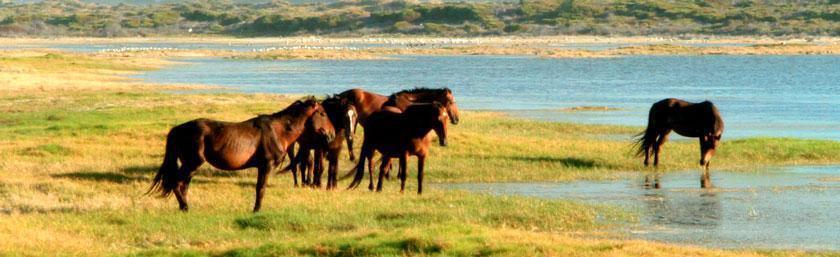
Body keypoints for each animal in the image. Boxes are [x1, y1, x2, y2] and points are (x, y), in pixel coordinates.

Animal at [148, 97, 334, 211]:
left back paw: (185, 207)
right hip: (192, 163)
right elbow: (261, 188)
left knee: (183, 185)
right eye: (323, 113)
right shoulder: (266, 166)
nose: (331, 135)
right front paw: (257, 210)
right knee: (177, 183)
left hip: (190, 166)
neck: (277, 131)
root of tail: (178, 129)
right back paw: (185, 207)